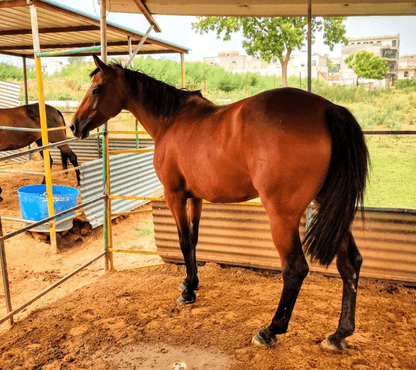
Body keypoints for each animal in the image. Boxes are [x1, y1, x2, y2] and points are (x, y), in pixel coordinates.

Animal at [72, 55, 370, 352]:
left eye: (96, 89)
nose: (74, 125)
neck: (171, 120)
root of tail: (328, 109)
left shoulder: (174, 195)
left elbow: (183, 241)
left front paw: (188, 293)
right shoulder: (196, 197)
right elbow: (194, 240)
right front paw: (191, 283)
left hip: (282, 216)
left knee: (296, 268)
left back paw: (271, 330)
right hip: (330, 210)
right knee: (350, 263)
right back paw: (339, 334)